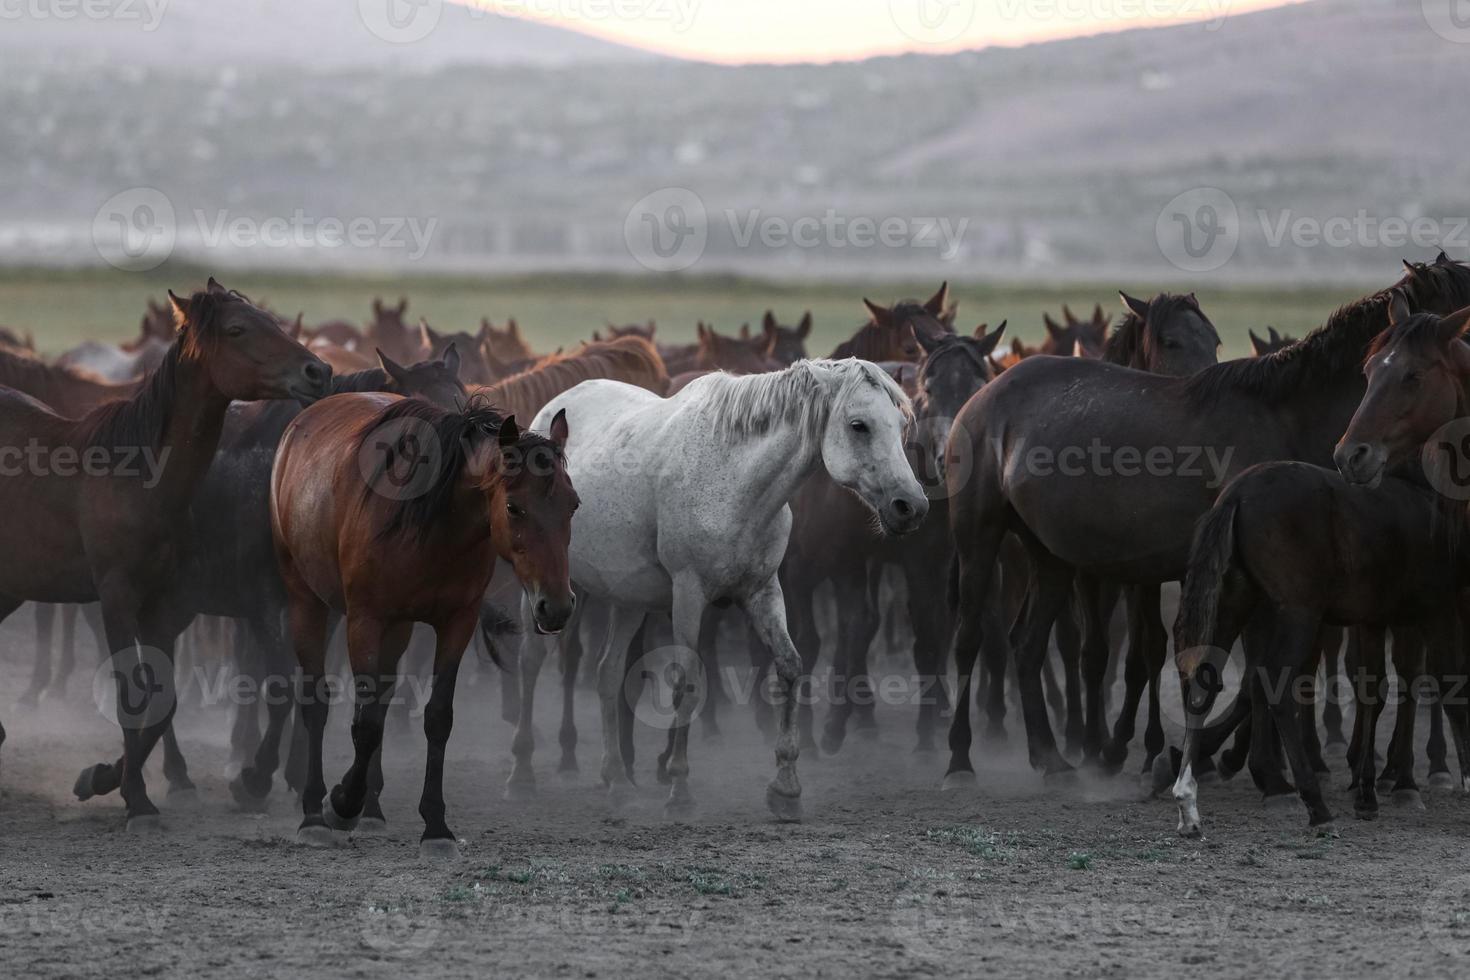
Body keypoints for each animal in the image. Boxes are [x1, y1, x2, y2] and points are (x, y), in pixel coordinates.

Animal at [0, 279, 330, 822]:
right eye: (237, 329)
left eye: (272, 320)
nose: (318, 372)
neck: (139, 478)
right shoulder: (117, 599)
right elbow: (132, 695)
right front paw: (135, 797)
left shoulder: (164, 605)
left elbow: (164, 700)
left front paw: (105, 778)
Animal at [273, 393, 576, 858]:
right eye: (513, 507)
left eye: (573, 504)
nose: (556, 607)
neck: (434, 523)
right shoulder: (365, 620)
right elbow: (364, 724)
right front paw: (340, 804)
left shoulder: (456, 622)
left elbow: (435, 717)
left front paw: (435, 826)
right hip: (306, 599)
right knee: (317, 702)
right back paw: (315, 814)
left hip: (396, 630)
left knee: (381, 699)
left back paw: (372, 810)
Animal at [517, 358, 923, 822]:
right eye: (859, 425)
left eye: (900, 424)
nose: (911, 507)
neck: (735, 479)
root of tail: (551, 410)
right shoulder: (689, 594)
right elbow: (687, 682)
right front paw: (679, 786)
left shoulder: (763, 591)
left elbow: (789, 667)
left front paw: (786, 787)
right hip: (546, 591)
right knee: (530, 663)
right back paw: (522, 774)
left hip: (627, 600)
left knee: (607, 673)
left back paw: (617, 781)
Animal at [940, 258, 1470, 781]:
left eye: (1412, 374)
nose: (1354, 455)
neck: (1286, 418)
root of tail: (985, 392)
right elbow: (1253, 669)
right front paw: (1246, 764)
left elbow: (1265, 671)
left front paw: (1231, 759)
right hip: (979, 537)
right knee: (968, 639)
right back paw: (961, 758)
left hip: (1049, 556)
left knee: (1027, 646)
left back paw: (1051, 758)